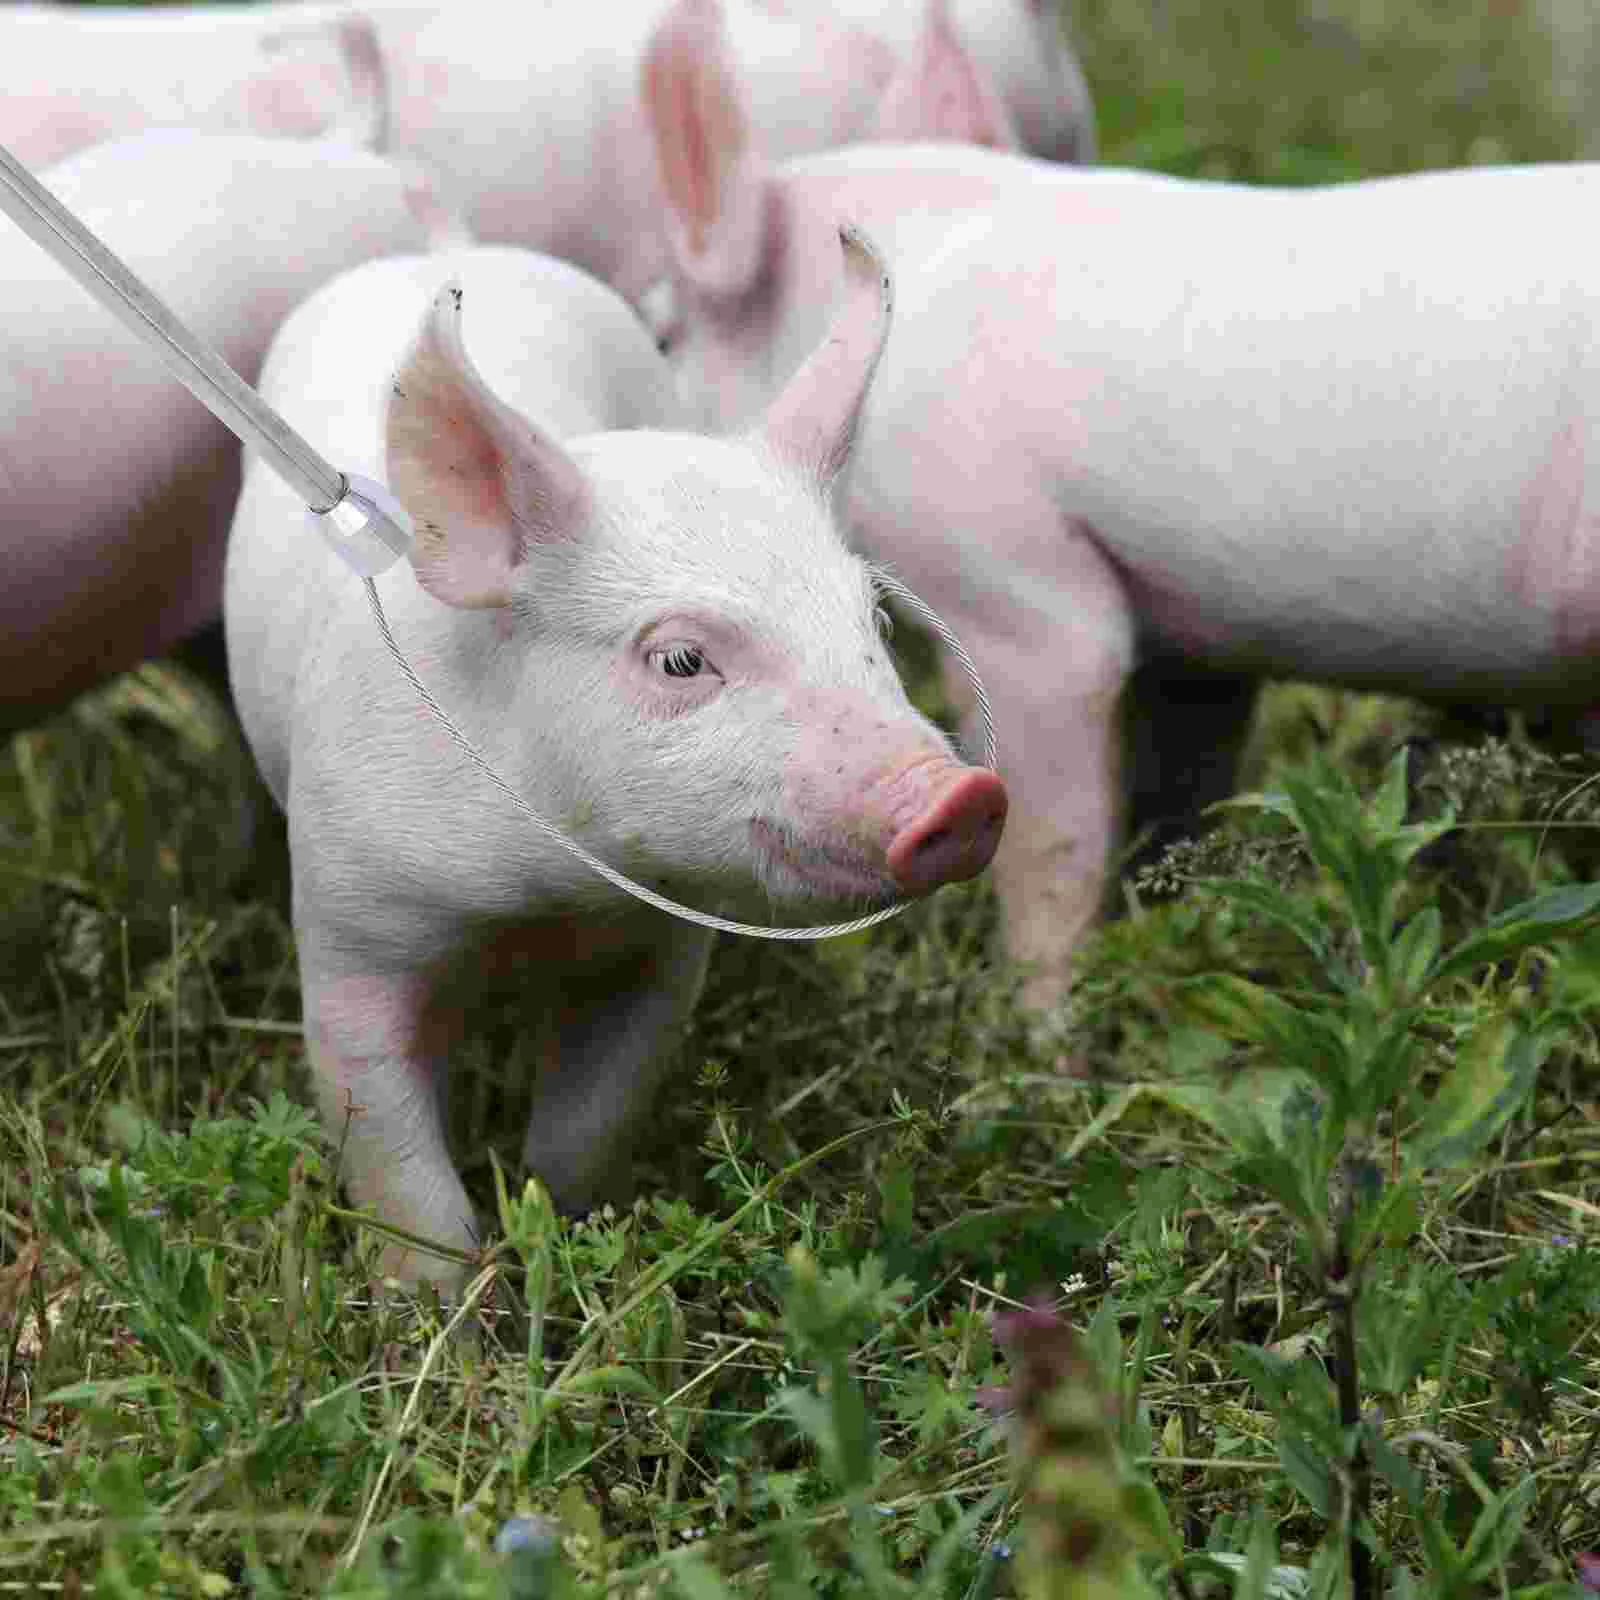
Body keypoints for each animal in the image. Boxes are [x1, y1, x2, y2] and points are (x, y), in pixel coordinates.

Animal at [225, 240, 1004, 1286]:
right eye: (679, 659)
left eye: (875, 621)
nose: (964, 795)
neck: (538, 899)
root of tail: (447, 246)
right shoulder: (352, 911)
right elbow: (389, 1150)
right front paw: (438, 1307)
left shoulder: (662, 949)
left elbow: (592, 1120)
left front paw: (569, 1230)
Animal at [643, 34, 1600, 1011]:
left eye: (665, 336)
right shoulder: (1200, 633)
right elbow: (1179, 788)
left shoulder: (1013, 576)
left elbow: (1052, 829)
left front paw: (1035, 1027)